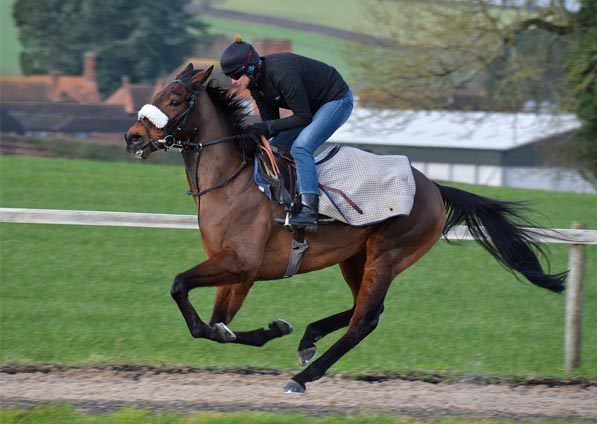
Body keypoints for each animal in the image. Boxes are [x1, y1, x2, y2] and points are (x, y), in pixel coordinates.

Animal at [124, 63, 564, 394]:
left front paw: (273, 331)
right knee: (365, 309)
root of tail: (433, 186)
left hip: (388, 254)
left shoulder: (240, 263)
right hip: (356, 258)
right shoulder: (237, 272)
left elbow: (182, 288)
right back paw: (308, 338)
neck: (231, 181)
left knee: (365, 320)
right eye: (158, 93)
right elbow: (218, 326)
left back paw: (303, 376)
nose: (132, 137)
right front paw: (274, 328)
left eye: (174, 100)